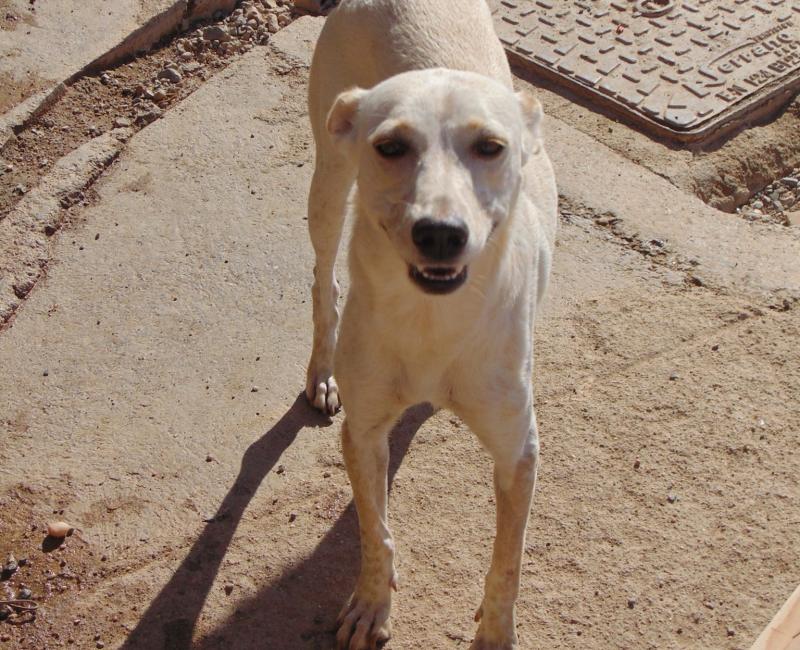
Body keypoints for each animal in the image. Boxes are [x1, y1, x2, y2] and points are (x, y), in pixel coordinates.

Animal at [304, 1, 557, 648]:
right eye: (391, 145)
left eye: (490, 146)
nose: (440, 234)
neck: (432, 322)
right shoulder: (364, 432)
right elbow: (375, 533)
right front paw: (372, 604)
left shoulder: (519, 451)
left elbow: (508, 560)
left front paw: (496, 632)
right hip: (328, 181)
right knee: (324, 283)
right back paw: (320, 372)